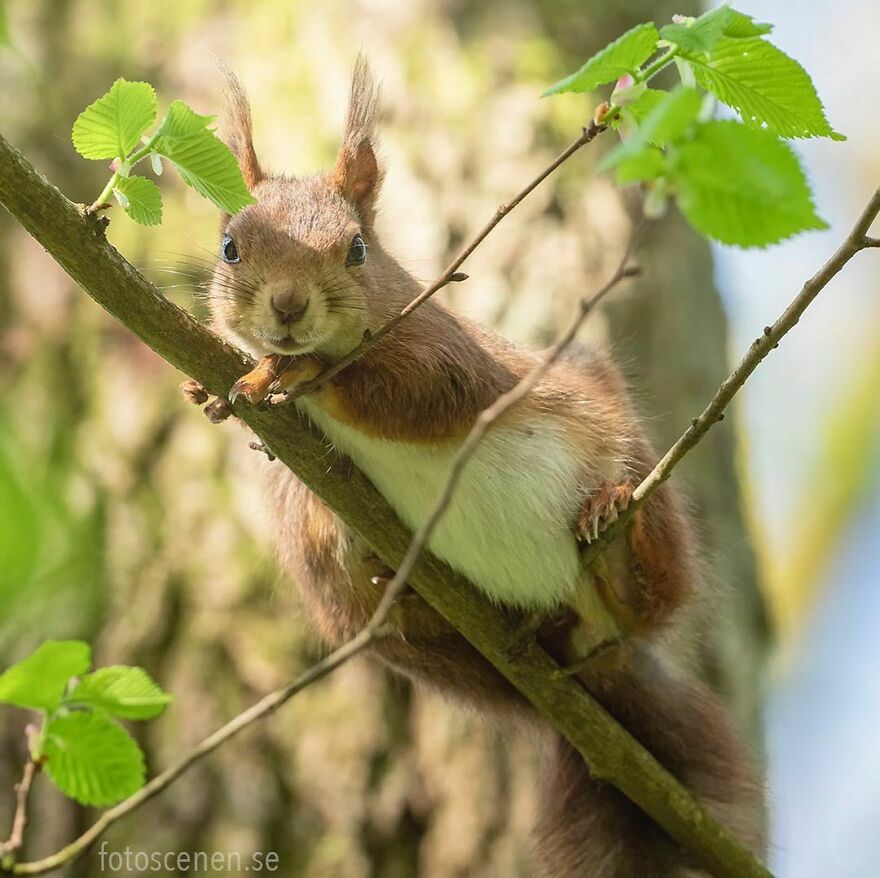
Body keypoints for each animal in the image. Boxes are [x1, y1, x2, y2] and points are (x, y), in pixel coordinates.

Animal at [187, 57, 766, 877]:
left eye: (357, 249)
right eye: (230, 247)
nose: (289, 308)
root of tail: (581, 674)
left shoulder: (452, 361)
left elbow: (411, 392)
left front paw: (294, 373)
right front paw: (230, 389)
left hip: (629, 474)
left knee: (649, 594)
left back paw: (614, 535)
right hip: (378, 622)